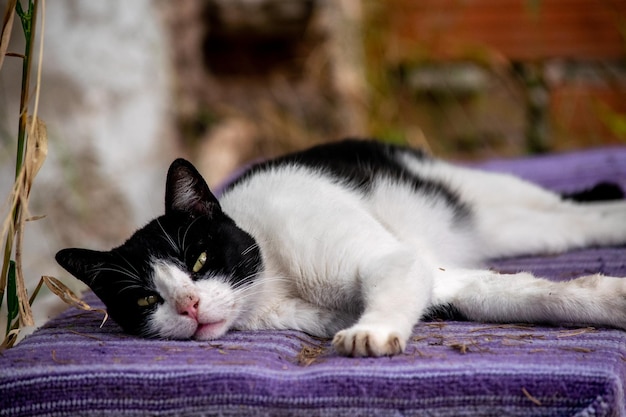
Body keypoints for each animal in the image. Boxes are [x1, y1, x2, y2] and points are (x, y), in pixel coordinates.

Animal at [54, 138, 624, 356]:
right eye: (146, 299)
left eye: (198, 258)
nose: (189, 305)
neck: (274, 281)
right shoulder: (442, 281)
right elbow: (517, 294)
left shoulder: (394, 259)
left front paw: (371, 334)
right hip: (513, 230)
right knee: (571, 224)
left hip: (481, 193)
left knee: (568, 207)